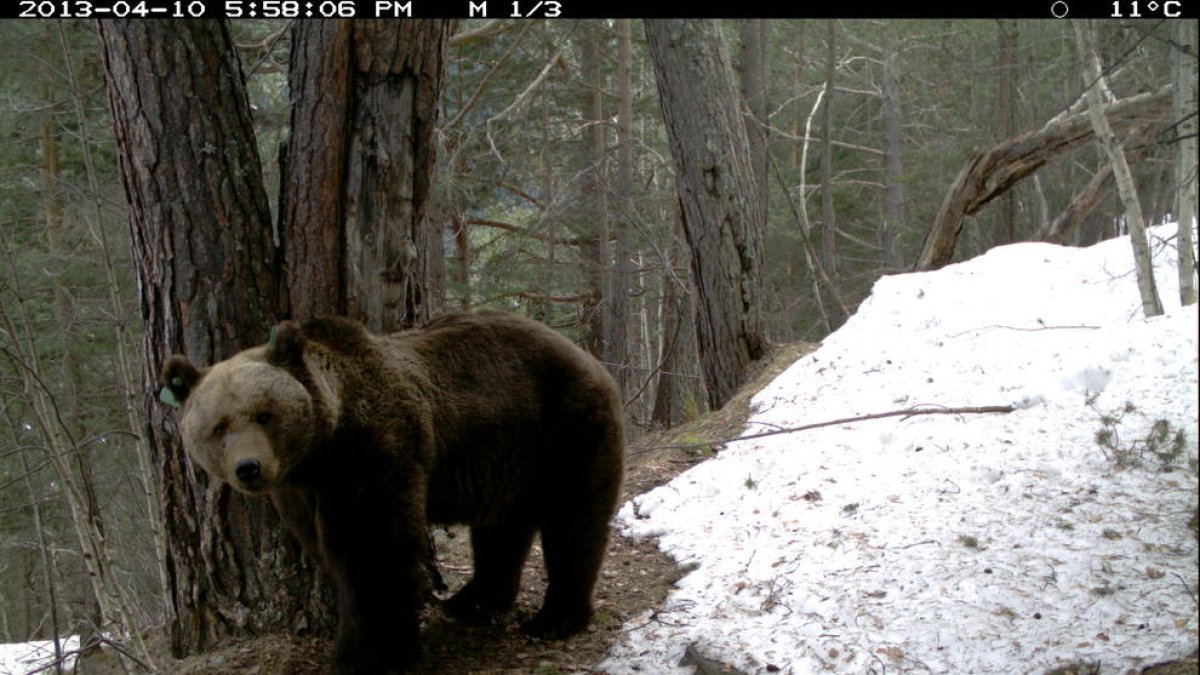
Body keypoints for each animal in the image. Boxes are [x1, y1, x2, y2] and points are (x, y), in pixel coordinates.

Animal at [159, 309, 628, 667]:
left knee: (573, 521)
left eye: (264, 414)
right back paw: (473, 600)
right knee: (500, 530)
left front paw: (367, 654)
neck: (320, 452)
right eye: (219, 426)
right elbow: (326, 548)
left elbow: (372, 550)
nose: (249, 469)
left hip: (565, 427)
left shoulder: (373, 452)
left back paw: (555, 618)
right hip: (509, 456)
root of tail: (589, 358)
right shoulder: (297, 490)